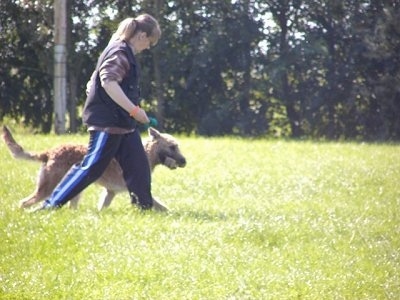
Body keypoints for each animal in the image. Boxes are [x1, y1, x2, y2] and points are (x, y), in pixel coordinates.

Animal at [1, 125, 187, 212]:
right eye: (172, 146)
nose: (184, 161)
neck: (147, 152)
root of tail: (49, 153)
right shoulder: (134, 189)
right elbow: (160, 205)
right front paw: (170, 213)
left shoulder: (110, 192)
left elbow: (103, 206)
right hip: (48, 188)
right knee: (24, 202)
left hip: (74, 191)